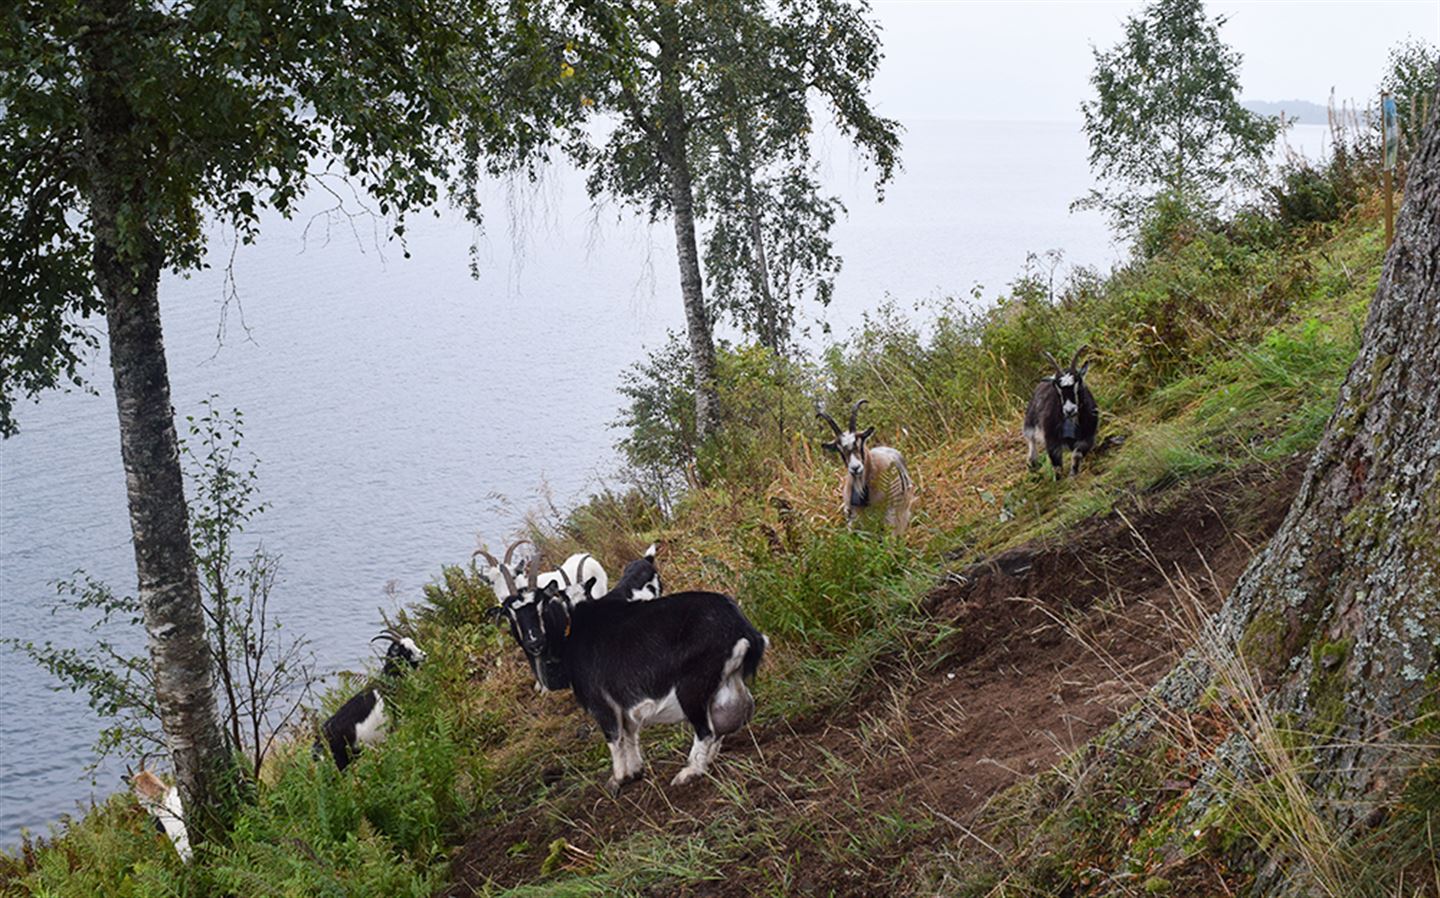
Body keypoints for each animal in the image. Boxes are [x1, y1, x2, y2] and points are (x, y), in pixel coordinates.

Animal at [489, 546, 766, 794]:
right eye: (510, 613)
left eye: (541, 604)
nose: (534, 642)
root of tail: (741, 628)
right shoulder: (623, 702)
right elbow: (630, 733)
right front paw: (635, 771)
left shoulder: (600, 701)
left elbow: (613, 737)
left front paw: (618, 778)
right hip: (727, 681)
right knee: (734, 714)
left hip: (692, 684)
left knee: (706, 730)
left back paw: (689, 772)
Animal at [817, 397, 915, 535]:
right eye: (839, 450)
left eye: (860, 443)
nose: (855, 468)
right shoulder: (853, 516)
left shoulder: (889, 515)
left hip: (901, 511)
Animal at [1025, 346, 1100, 480]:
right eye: (1057, 388)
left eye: (1078, 384)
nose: (1069, 410)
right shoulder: (1051, 440)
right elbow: (1057, 466)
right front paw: (1059, 480)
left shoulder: (1087, 438)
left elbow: (1077, 455)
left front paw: (1072, 475)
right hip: (1030, 422)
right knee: (1031, 441)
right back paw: (1032, 464)